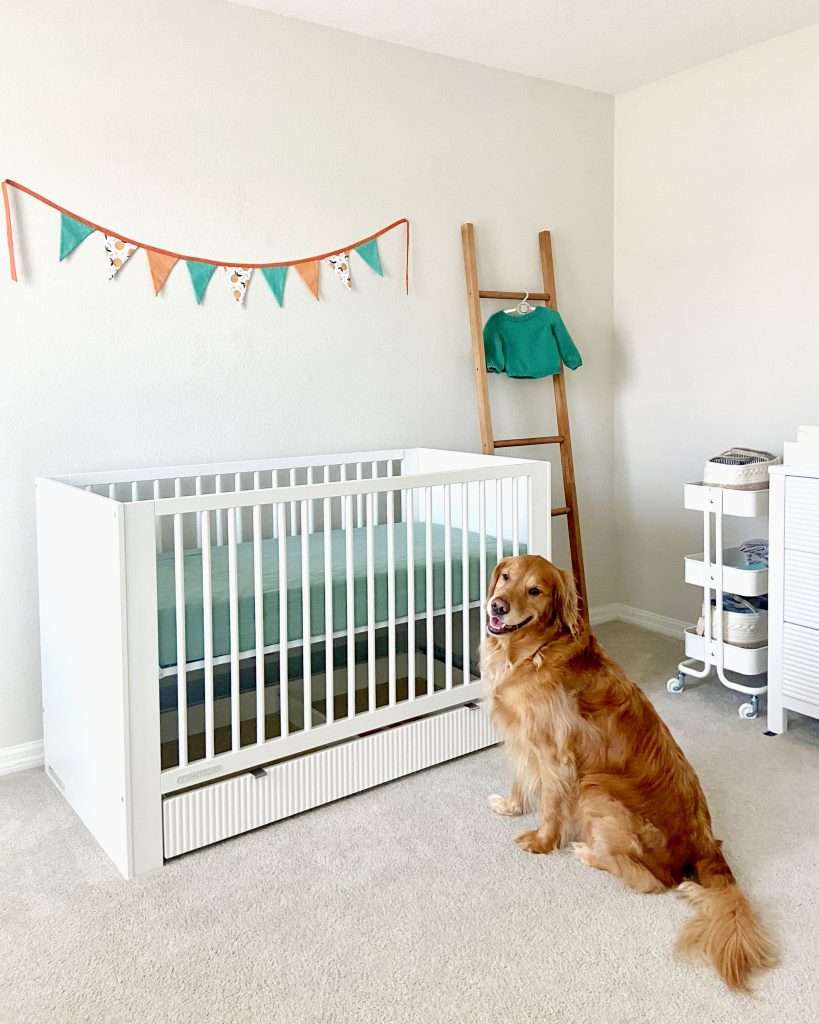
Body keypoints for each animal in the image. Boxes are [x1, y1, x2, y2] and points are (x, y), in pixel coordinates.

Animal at [483, 557, 778, 987]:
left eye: (535, 590)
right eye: (505, 577)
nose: (498, 606)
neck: (534, 650)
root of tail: (705, 840)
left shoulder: (555, 753)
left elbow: (551, 806)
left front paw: (541, 842)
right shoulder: (522, 738)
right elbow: (520, 779)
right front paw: (510, 806)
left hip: (595, 787)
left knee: (651, 881)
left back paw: (588, 852)